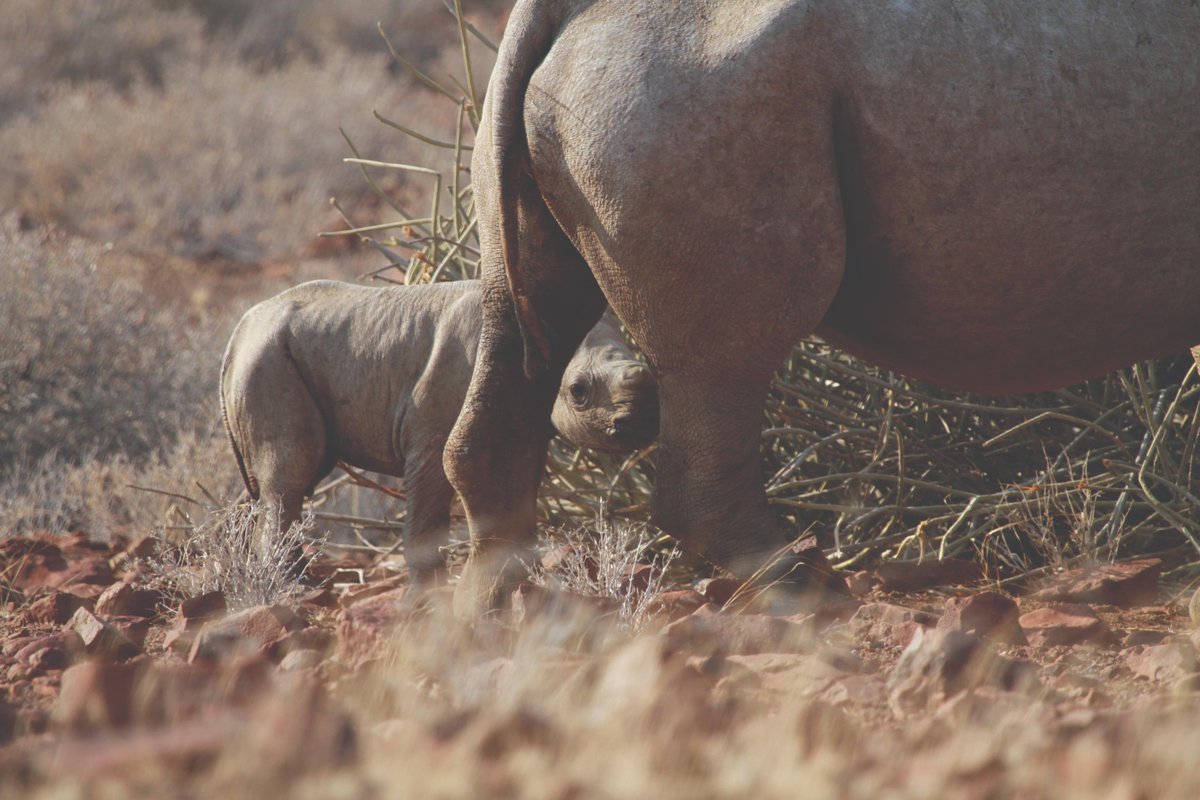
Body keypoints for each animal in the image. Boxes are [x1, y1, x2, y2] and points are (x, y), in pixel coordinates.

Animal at [220, 279, 657, 584]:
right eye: (578, 392)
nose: (639, 424)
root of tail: (239, 332)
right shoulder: (434, 429)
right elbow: (430, 504)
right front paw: (428, 599)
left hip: (276, 356)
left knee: (281, 480)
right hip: (267, 360)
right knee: (290, 477)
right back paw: (295, 586)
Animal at [445, 0, 1200, 610]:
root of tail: (568, 10)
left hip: (613, 91)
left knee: (520, 320)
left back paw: (486, 615)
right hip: (683, 87)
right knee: (725, 359)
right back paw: (805, 591)